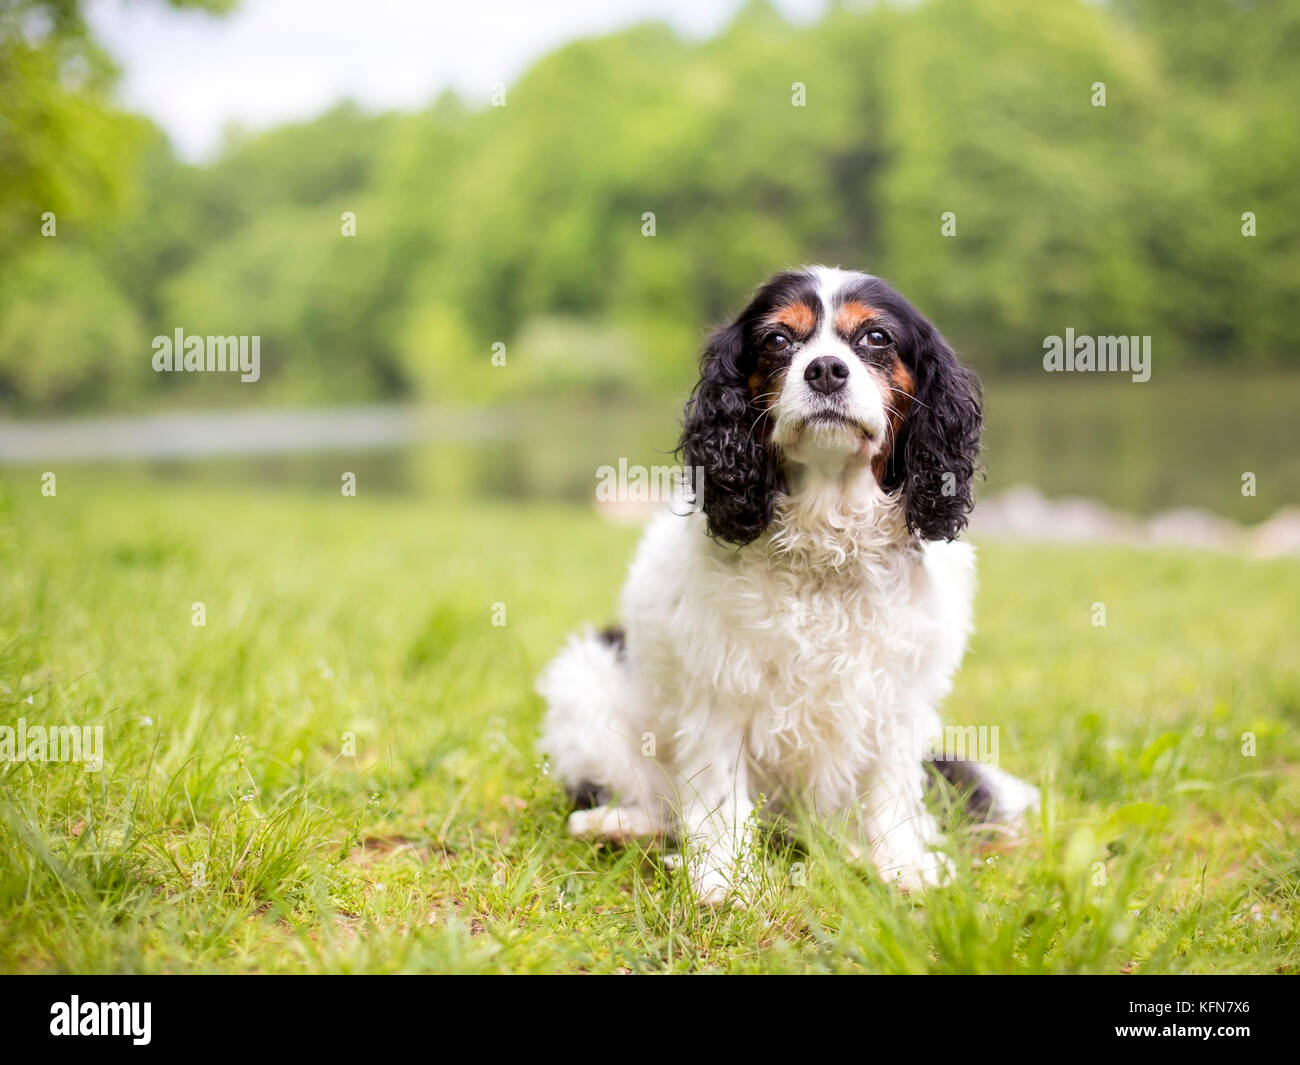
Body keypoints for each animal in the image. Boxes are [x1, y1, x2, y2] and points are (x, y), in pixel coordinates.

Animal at [535, 263, 1034, 899]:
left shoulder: (897, 698)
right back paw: (620, 825)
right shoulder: (720, 688)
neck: (828, 535)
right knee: (657, 802)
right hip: (588, 680)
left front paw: (902, 866)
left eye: (876, 338)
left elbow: (890, 788)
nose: (824, 369)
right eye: (777, 340)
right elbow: (718, 791)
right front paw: (722, 877)